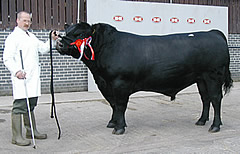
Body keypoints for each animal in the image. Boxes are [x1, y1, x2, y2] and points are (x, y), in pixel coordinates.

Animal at [56, 22, 232, 135]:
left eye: (79, 34)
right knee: (205, 99)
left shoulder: (120, 83)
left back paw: (215, 126)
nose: (59, 44)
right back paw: (201, 120)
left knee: (216, 98)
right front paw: (113, 122)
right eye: (67, 32)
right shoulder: (106, 84)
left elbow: (120, 105)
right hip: (201, 79)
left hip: (213, 76)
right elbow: (113, 104)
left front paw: (119, 127)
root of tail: (213, 32)